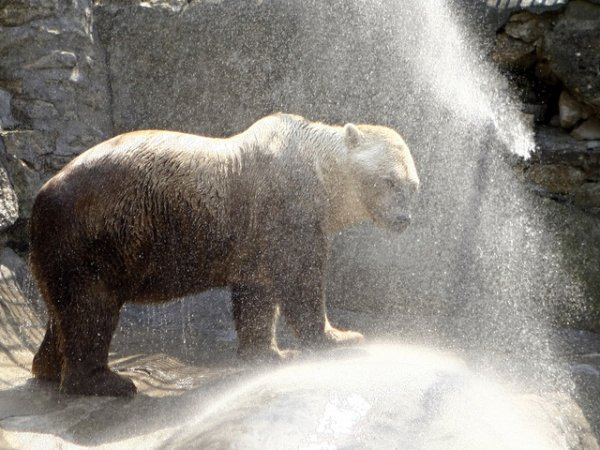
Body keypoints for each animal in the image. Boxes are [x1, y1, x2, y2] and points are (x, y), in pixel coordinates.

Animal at [29, 113, 422, 398]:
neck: (319, 168)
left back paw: (47, 368)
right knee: (91, 308)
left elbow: (257, 293)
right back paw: (109, 382)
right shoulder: (289, 206)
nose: (404, 219)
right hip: (96, 235)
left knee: (64, 310)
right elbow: (300, 279)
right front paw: (342, 337)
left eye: (414, 186)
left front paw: (272, 353)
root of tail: (41, 197)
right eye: (389, 180)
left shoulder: (256, 235)